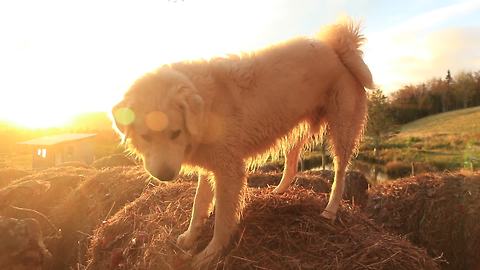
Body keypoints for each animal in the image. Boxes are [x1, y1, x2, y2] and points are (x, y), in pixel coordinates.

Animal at [111, 19, 372, 268]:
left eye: (175, 133)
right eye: (145, 136)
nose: (164, 176)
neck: (207, 106)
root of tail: (337, 49)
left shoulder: (229, 171)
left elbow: (223, 219)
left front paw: (210, 254)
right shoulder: (211, 166)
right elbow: (198, 205)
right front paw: (190, 237)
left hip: (342, 130)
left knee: (340, 173)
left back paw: (330, 210)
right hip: (296, 130)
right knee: (292, 165)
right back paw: (278, 191)